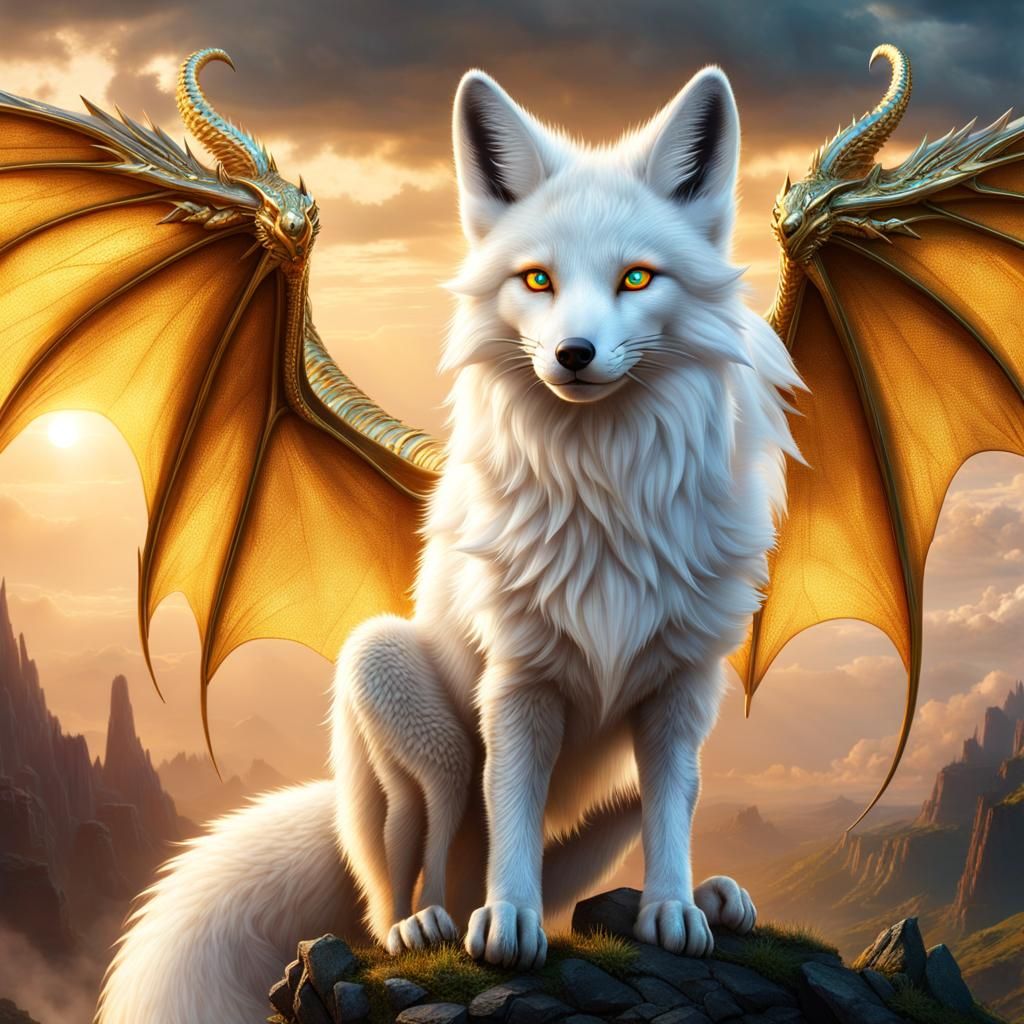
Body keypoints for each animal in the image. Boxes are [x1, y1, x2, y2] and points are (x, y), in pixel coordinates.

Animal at [97, 63, 803, 1024]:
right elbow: (512, 805)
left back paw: (713, 899)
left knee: (571, 867)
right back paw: (428, 926)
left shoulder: (680, 690)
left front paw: (674, 911)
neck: (610, 495)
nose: (574, 354)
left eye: (637, 278)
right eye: (537, 279)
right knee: (401, 869)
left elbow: (674, 807)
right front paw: (508, 928)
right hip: (397, 692)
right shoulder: (517, 684)